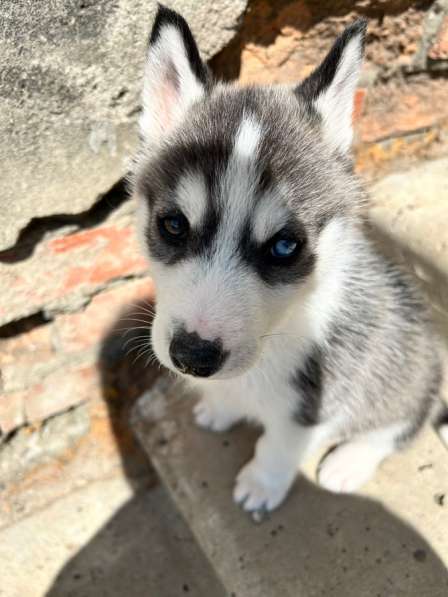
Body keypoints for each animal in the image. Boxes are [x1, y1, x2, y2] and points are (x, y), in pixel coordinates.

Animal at [131, 5, 446, 512]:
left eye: (284, 246)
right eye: (174, 225)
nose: (194, 357)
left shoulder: (317, 400)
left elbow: (277, 445)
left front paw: (262, 485)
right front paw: (219, 408)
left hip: (409, 370)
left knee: (399, 425)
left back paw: (349, 462)